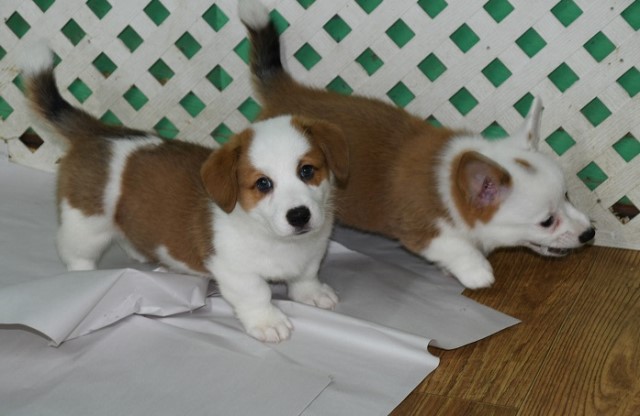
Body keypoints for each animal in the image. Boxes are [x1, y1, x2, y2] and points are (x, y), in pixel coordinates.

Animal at [20, 46, 348, 344]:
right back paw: (83, 275)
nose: (299, 216)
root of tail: (97, 131)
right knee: (74, 251)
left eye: (307, 170)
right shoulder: (235, 271)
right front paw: (267, 322)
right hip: (86, 225)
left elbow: (306, 276)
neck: (277, 239)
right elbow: (257, 294)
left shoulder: (312, 256)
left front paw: (312, 293)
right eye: (263, 184)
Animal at [239, 0, 596, 290]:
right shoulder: (420, 230)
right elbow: (454, 246)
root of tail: (284, 90)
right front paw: (476, 271)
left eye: (568, 196)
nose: (590, 233)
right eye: (547, 221)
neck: (450, 181)